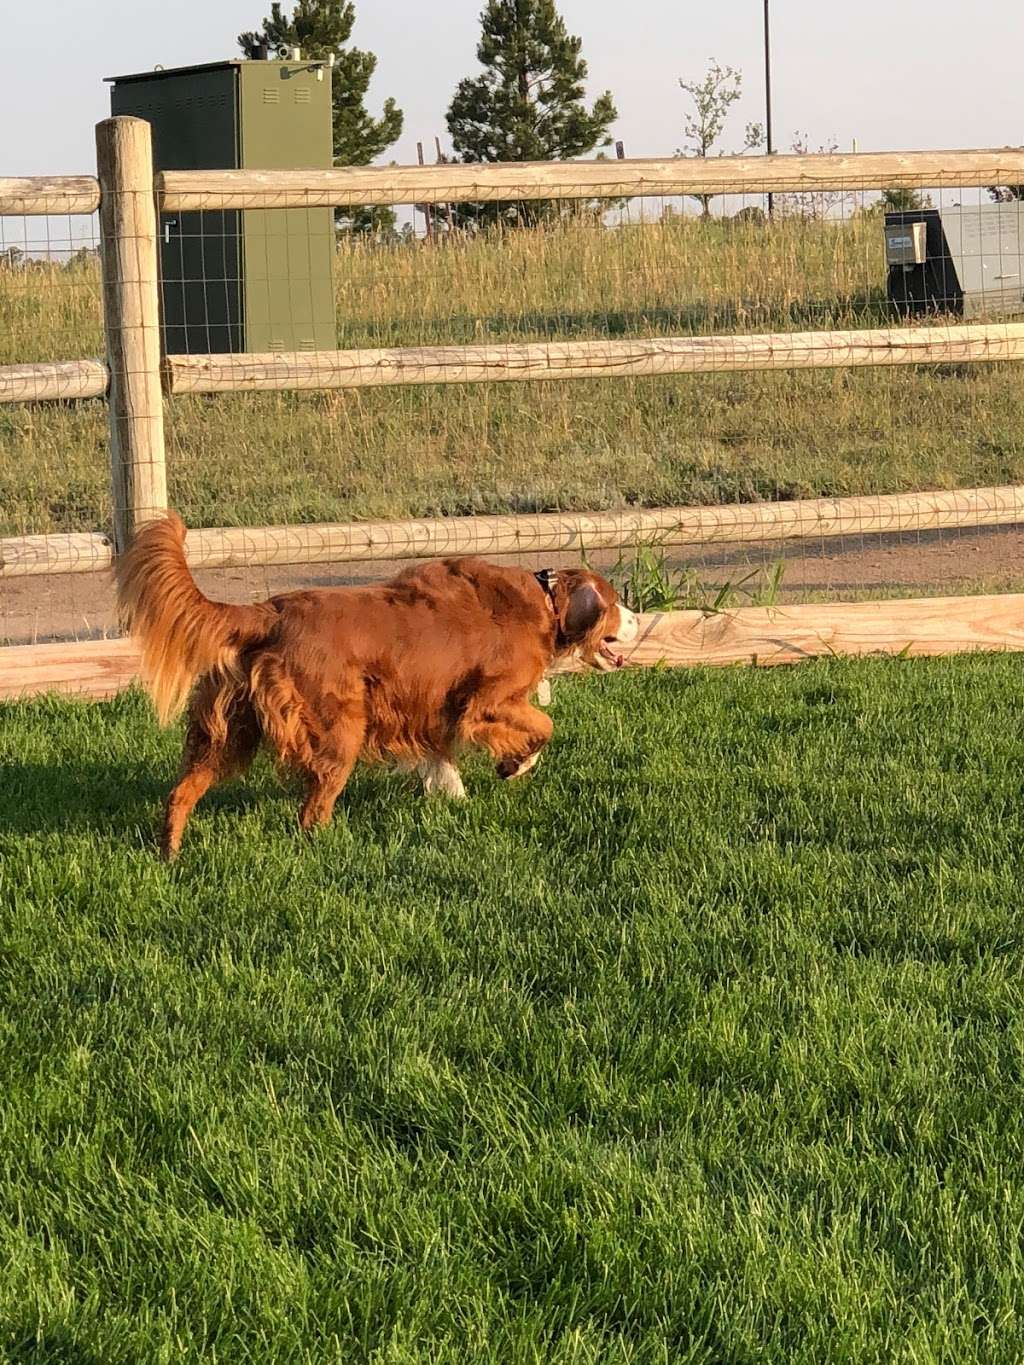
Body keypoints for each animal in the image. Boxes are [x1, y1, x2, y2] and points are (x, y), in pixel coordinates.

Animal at [116, 513, 638, 851]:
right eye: (615, 603)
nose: (639, 620)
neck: (546, 601)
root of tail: (272, 611)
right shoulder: (486, 701)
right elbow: (544, 727)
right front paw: (514, 765)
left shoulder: (433, 706)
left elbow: (441, 755)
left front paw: (455, 789)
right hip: (338, 728)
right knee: (312, 811)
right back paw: (328, 846)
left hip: (227, 731)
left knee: (182, 790)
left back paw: (169, 852)